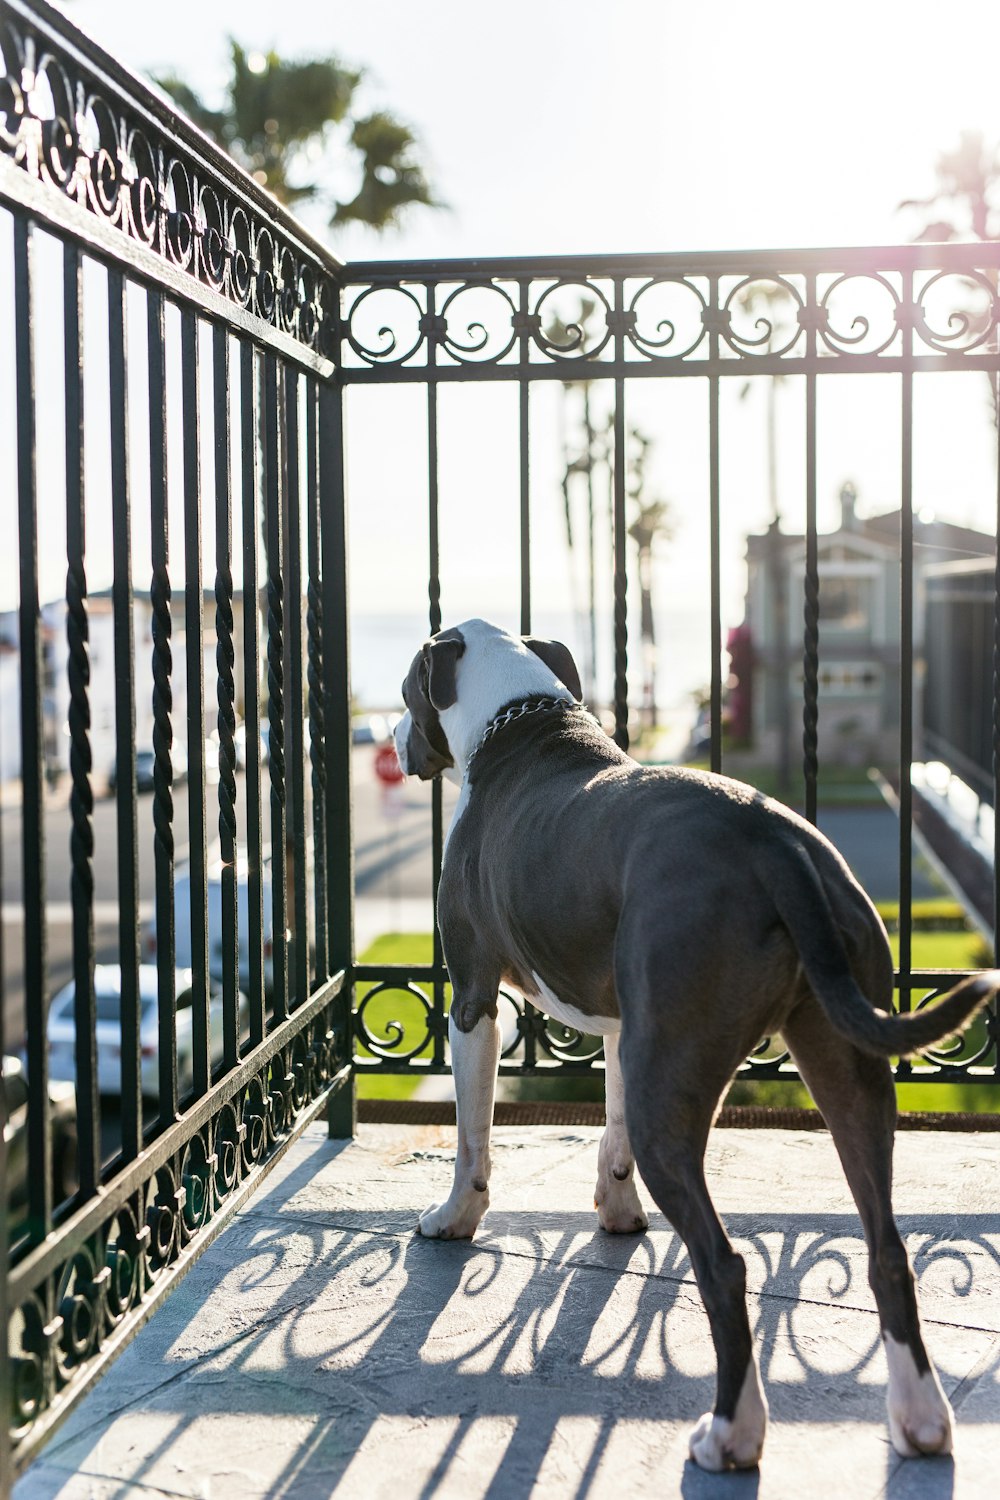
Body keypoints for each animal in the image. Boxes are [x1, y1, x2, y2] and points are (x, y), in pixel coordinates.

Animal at [395, 615, 995, 1470]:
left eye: (407, 693)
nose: (397, 739)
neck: (519, 723)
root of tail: (774, 841)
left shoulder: (473, 995)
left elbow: (472, 1136)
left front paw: (453, 1217)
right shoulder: (626, 1028)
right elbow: (607, 1125)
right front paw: (616, 1209)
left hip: (677, 1087)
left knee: (723, 1263)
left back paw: (731, 1433)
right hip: (842, 1066)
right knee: (887, 1249)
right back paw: (919, 1421)